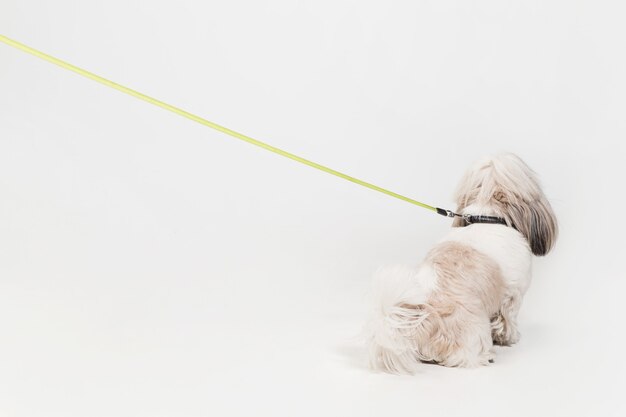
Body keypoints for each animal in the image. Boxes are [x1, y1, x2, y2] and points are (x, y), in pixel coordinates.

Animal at [366, 154, 556, 374]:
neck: (487, 217)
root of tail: (426, 319)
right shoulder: (512, 295)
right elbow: (507, 320)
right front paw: (510, 338)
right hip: (475, 333)